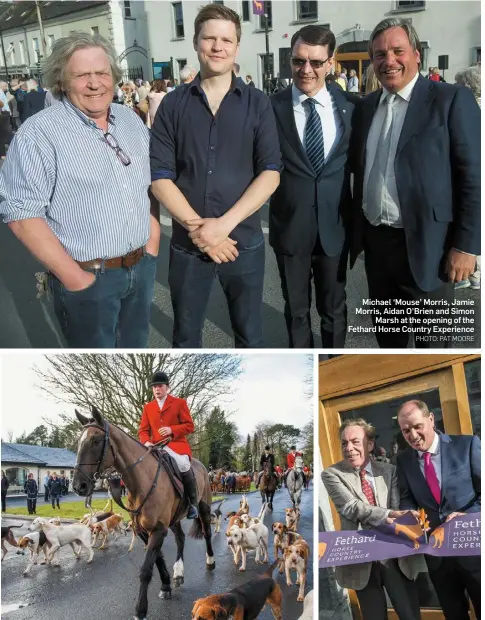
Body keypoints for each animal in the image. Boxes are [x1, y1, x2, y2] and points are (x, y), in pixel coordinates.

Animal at [72, 406, 216, 620]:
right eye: (78, 442)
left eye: (96, 440)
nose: (78, 486)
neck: (141, 481)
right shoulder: (143, 530)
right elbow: (157, 560)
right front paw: (166, 585)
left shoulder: (157, 530)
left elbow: (146, 570)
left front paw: (140, 610)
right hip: (174, 518)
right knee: (180, 538)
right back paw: (179, 573)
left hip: (203, 508)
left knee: (206, 533)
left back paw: (210, 561)